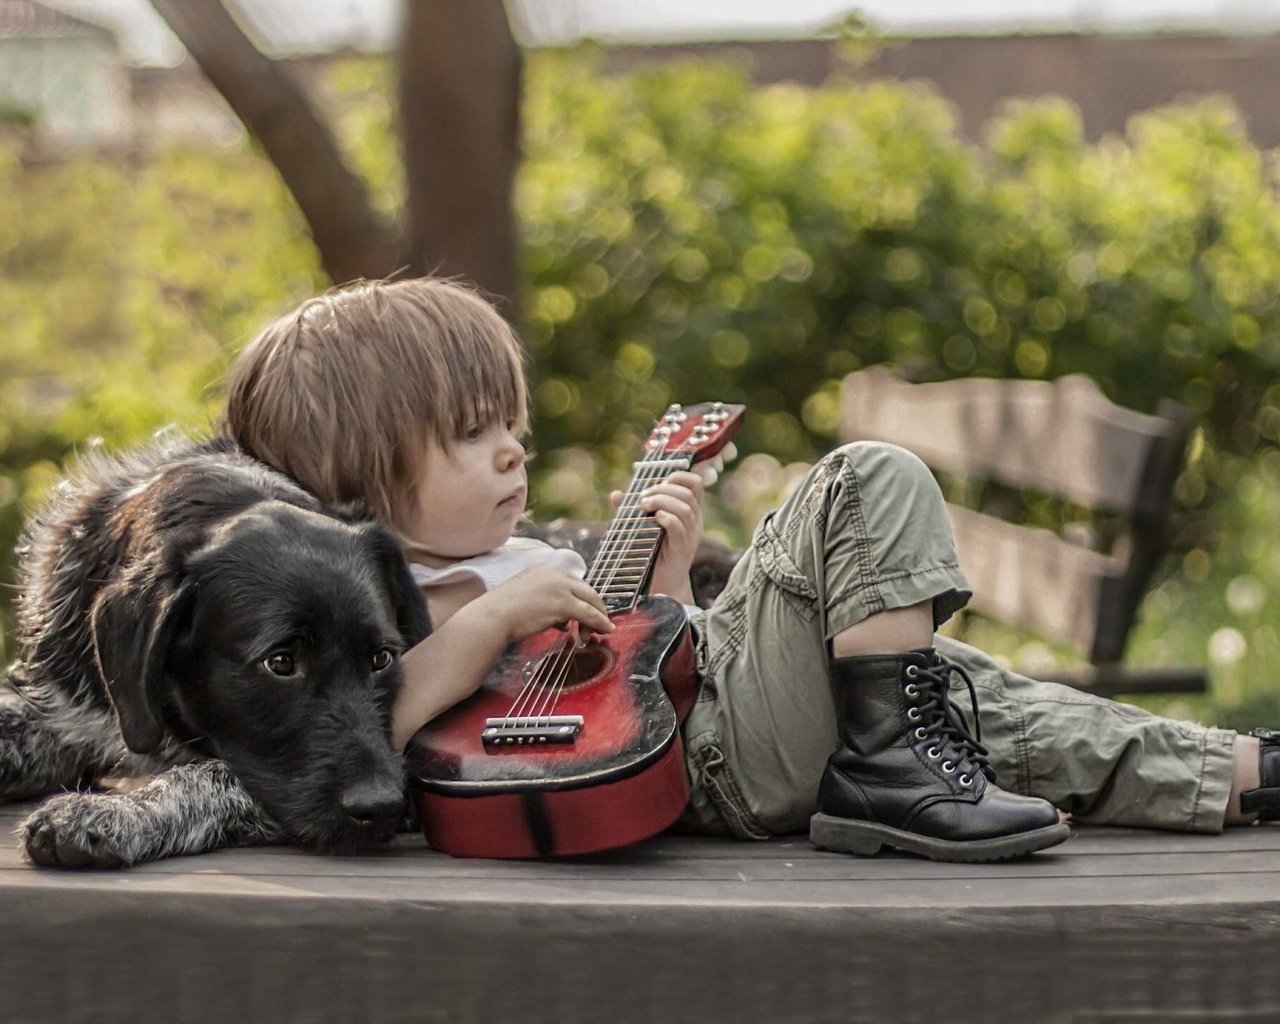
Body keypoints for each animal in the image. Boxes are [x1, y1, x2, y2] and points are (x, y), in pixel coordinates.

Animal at [0, 435, 430, 870]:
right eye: (280, 662)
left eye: (381, 659)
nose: (384, 806)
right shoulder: (64, 706)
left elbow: (210, 774)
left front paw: (109, 813)